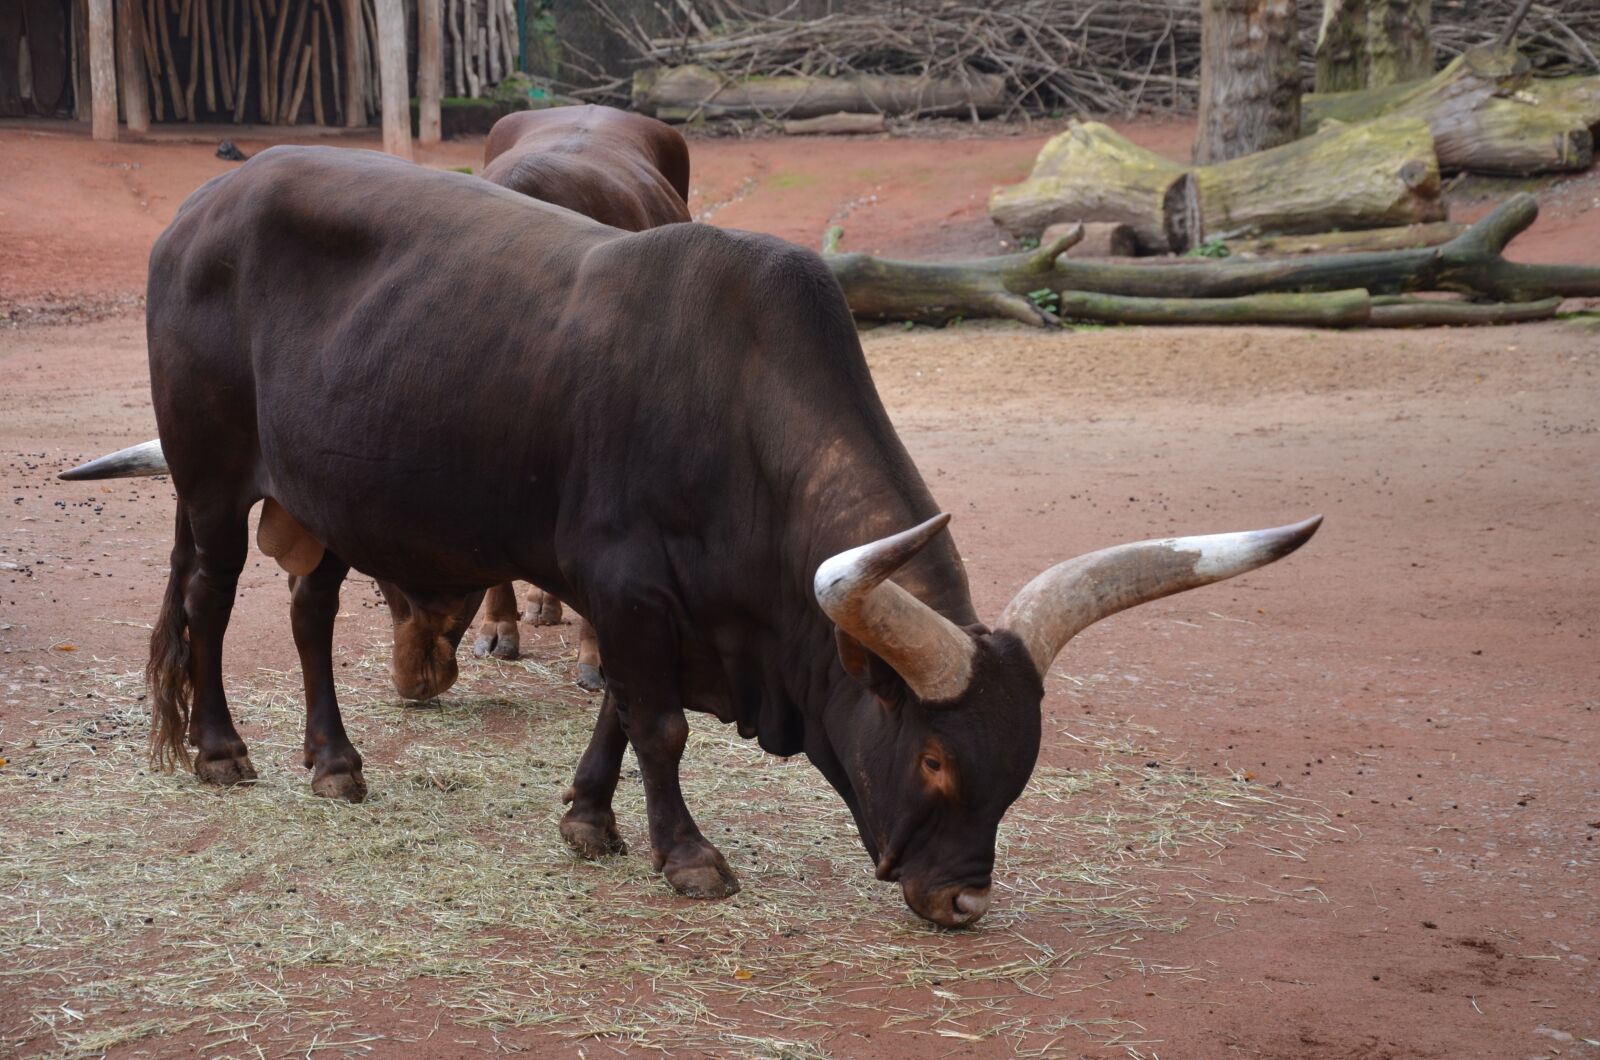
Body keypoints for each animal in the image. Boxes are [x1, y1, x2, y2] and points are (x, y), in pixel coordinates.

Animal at [61, 146, 1319, 926]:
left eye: (1021, 766)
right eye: (932, 757)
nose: (962, 899)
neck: (736, 411)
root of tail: (199, 213)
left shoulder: (650, 606)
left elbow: (621, 709)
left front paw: (587, 818)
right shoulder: (623, 584)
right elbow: (659, 723)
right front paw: (688, 855)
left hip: (317, 501)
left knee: (310, 611)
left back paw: (334, 759)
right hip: (212, 480)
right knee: (211, 599)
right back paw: (224, 749)